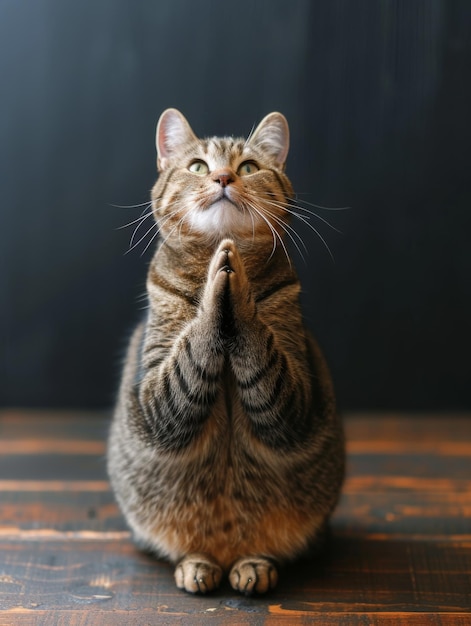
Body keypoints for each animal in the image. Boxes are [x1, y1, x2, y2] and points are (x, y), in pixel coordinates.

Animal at [108, 108, 346, 596]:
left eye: (249, 167)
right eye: (199, 166)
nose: (222, 177)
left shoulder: (298, 392)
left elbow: (263, 353)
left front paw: (236, 287)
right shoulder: (153, 392)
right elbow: (189, 351)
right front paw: (217, 290)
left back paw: (252, 565)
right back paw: (197, 565)